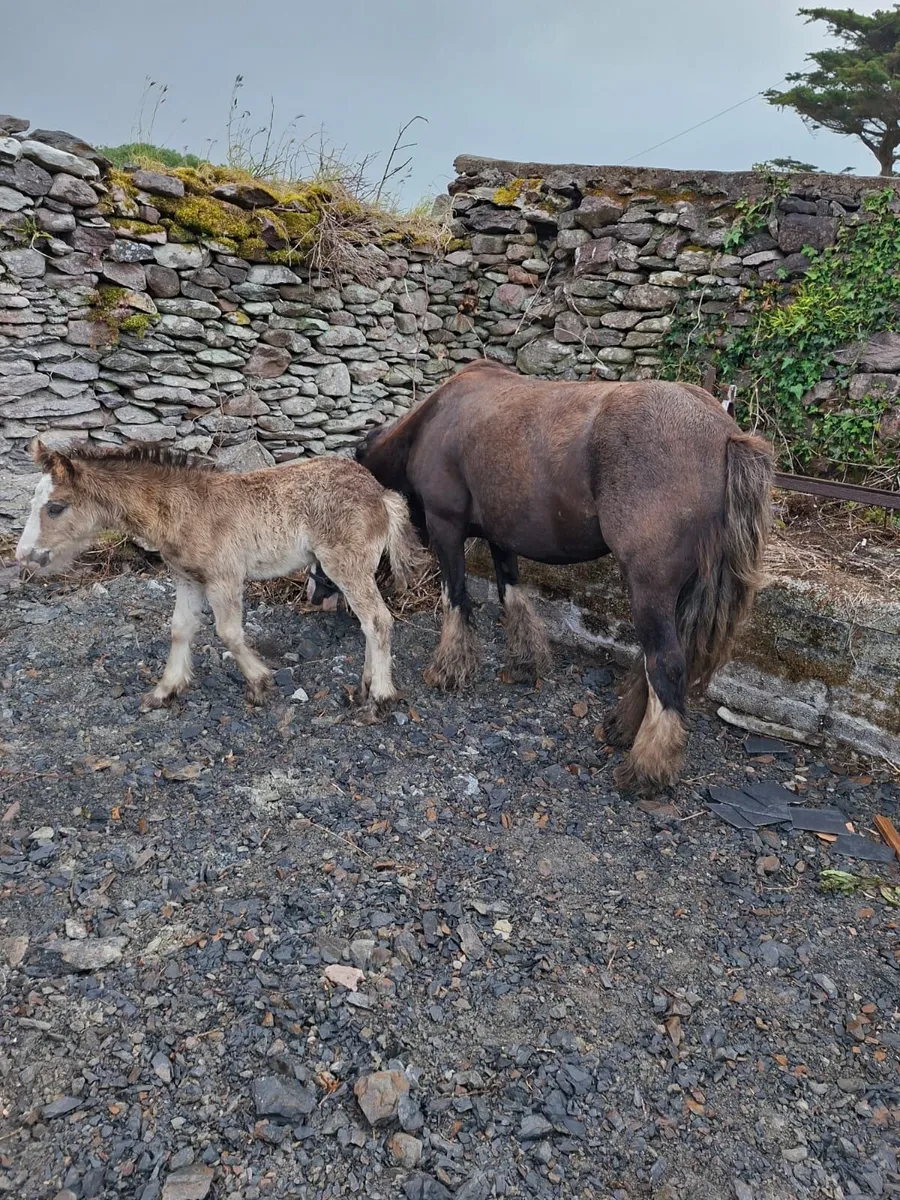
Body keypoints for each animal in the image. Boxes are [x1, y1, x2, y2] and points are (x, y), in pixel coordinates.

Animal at [16, 440, 426, 716]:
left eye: (56, 507)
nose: (24, 556)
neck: (183, 508)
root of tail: (381, 494)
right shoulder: (187, 579)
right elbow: (180, 629)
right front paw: (165, 690)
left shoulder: (224, 577)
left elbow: (228, 632)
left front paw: (259, 684)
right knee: (370, 624)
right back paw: (365, 687)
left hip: (347, 564)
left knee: (377, 620)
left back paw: (380, 696)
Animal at [354, 359, 774, 791]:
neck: (434, 419)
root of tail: (725, 434)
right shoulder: (501, 536)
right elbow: (512, 595)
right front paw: (525, 662)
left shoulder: (446, 529)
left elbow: (456, 599)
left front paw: (449, 668)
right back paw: (624, 728)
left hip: (649, 588)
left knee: (666, 663)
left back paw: (647, 766)